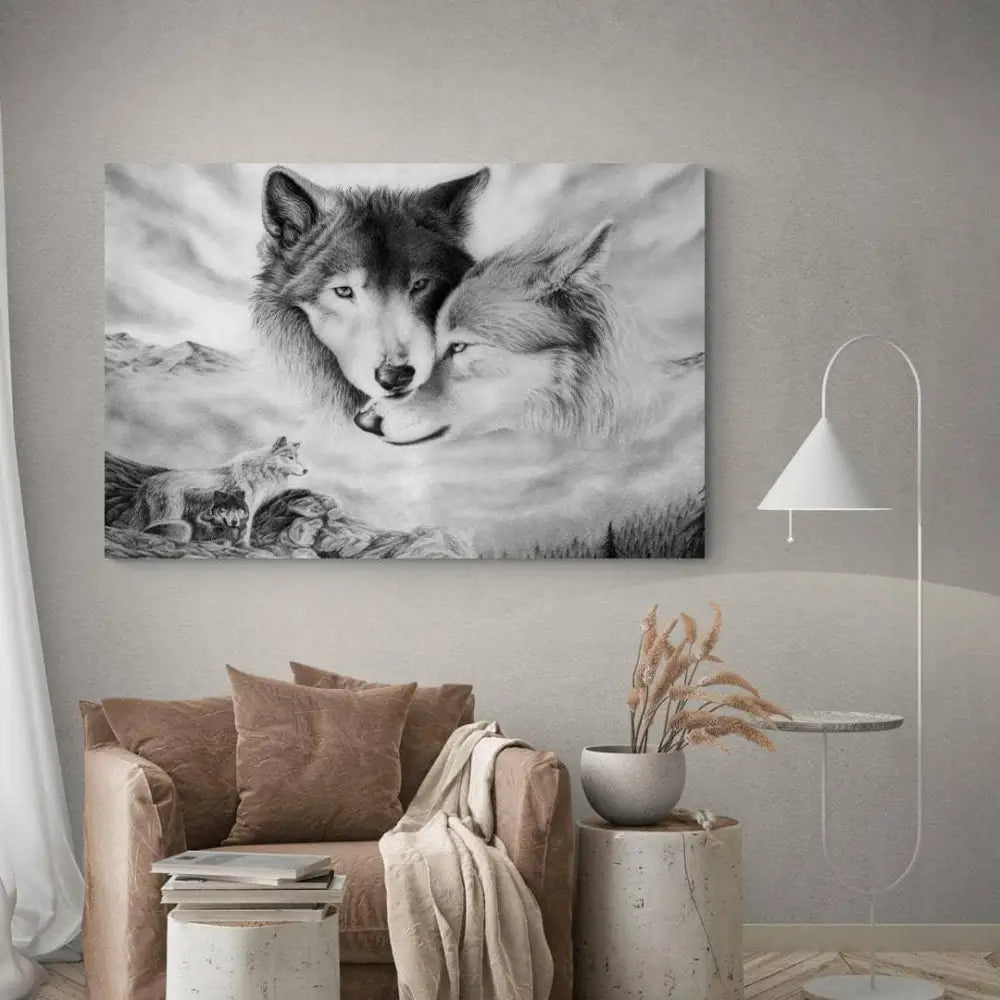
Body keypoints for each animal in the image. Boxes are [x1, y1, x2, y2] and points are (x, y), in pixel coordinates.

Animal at [128, 437, 307, 545]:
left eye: (297, 458)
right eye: (290, 458)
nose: (306, 470)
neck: (261, 470)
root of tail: (147, 482)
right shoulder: (247, 508)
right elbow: (245, 531)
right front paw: (244, 547)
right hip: (170, 515)